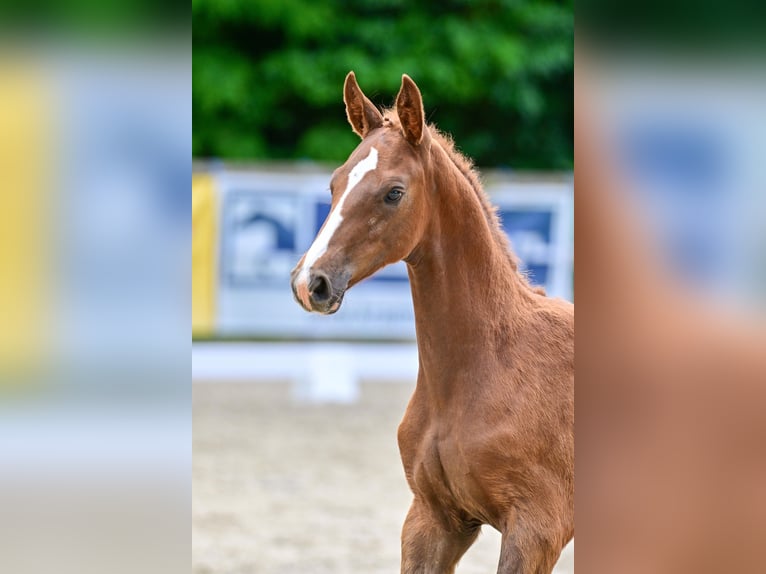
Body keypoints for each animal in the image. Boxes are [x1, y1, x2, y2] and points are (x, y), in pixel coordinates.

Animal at [290, 72, 574, 574]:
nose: (311, 283)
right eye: (334, 184)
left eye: (394, 192)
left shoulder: (537, 531)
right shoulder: (433, 518)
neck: (485, 369)